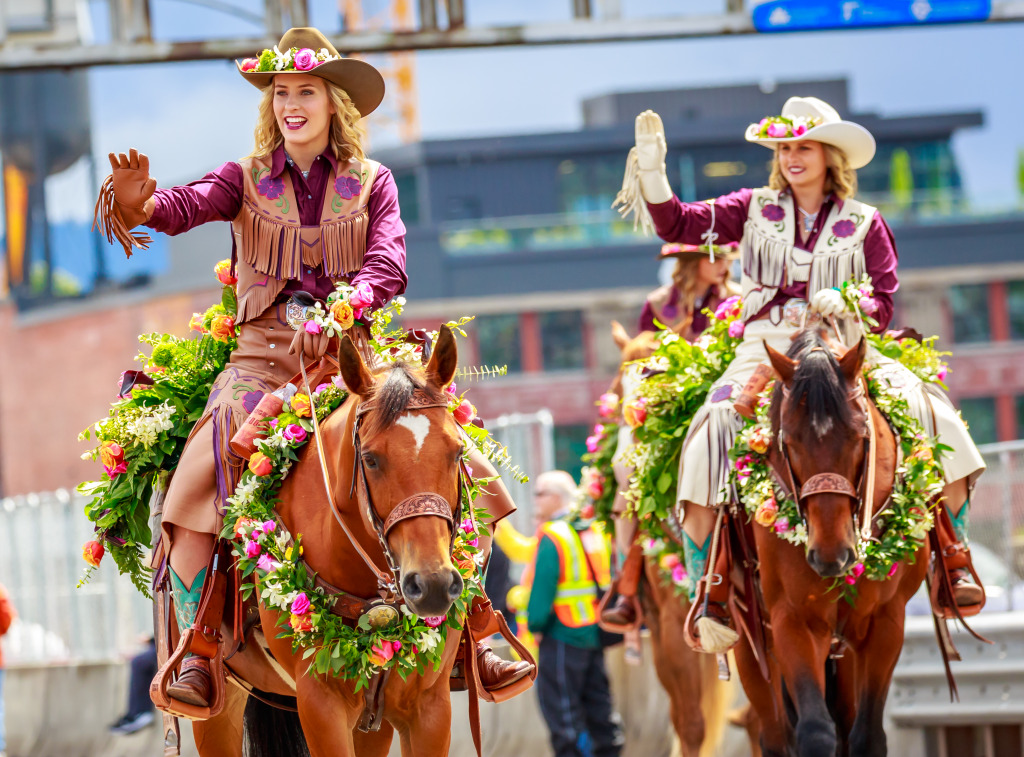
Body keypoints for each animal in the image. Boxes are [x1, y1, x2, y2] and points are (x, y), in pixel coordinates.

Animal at [186, 327, 468, 757]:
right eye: (371, 459)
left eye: (456, 451)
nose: (433, 584)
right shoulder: (321, 706)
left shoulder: (430, 708)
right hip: (219, 707)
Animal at [733, 333, 933, 757]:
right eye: (789, 443)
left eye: (860, 438)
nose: (830, 556)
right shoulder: (794, 619)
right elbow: (813, 732)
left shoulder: (887, 621)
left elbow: (867, 735)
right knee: (774, 734)